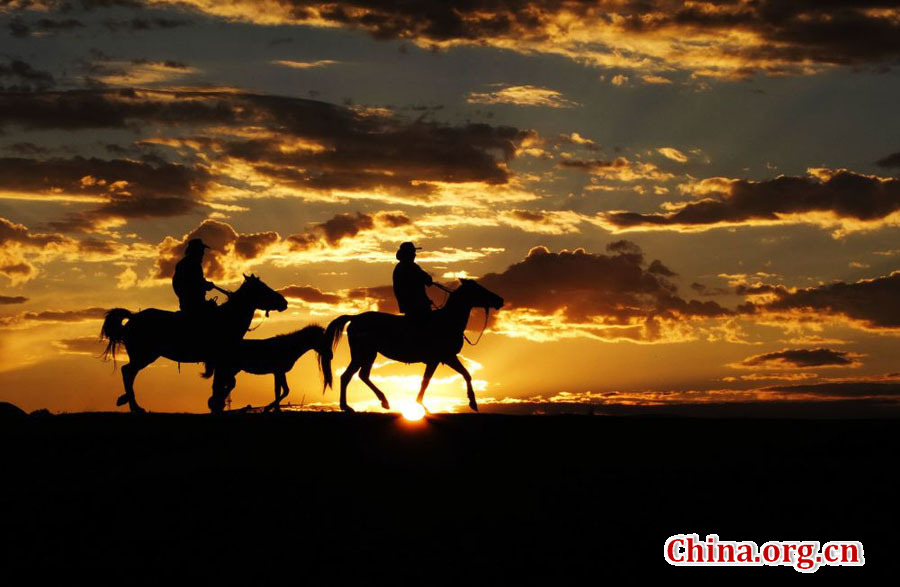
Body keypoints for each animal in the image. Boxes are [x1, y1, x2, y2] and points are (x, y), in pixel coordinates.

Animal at [100, 274, 286, 414]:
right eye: (263, 288)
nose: (284, 302)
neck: (227, 318)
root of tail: (133, 318)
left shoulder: (222, 361)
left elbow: (226, 382)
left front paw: (215, 403)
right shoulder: (222, 360)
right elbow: (223, 383)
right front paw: (215, 403)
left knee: (128, 373)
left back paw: (127, 401)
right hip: (144, 356)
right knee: (128, 372)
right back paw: (134, 406)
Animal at [326, 280, 506, 414]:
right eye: (479, 289)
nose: (500, 300)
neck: (448, 321)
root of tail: (355, 318)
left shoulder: (443, 358)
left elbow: (461, 375)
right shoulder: (443, 358)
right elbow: (431, 380)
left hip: (368, 355)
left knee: (359, 375)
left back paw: (377, 402)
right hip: (364, 354)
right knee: (349, 376)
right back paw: (353, 406)